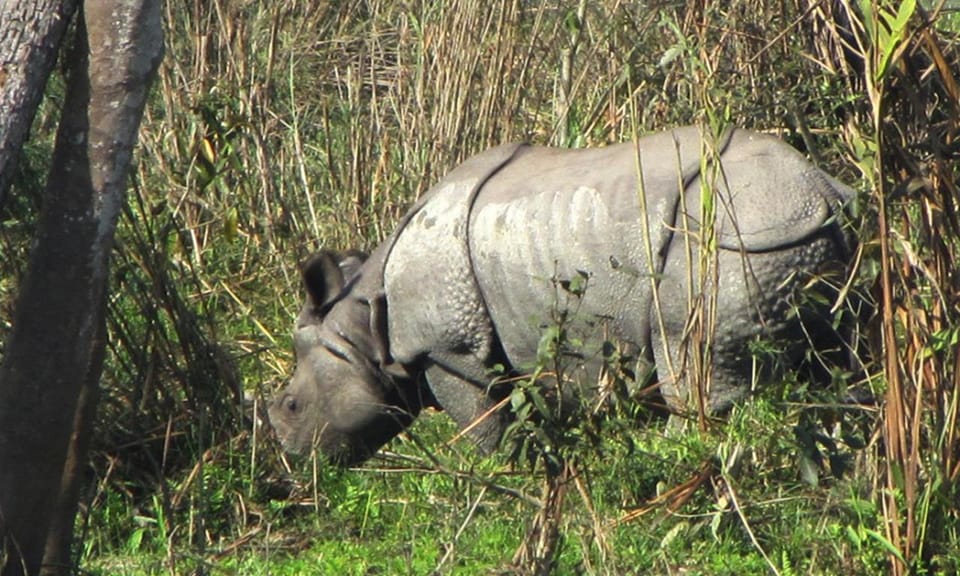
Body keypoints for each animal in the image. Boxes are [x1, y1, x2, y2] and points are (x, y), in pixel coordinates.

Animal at [268, 126, 856, 464]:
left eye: (292, 406)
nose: (294, 465)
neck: (363, 320)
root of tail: (821, 190)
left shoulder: (447, 350)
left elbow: (485, 428)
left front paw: (496, 478)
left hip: (733, 240)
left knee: (694, 365)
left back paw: (668, 458)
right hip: (809, 241)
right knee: (840, 362)